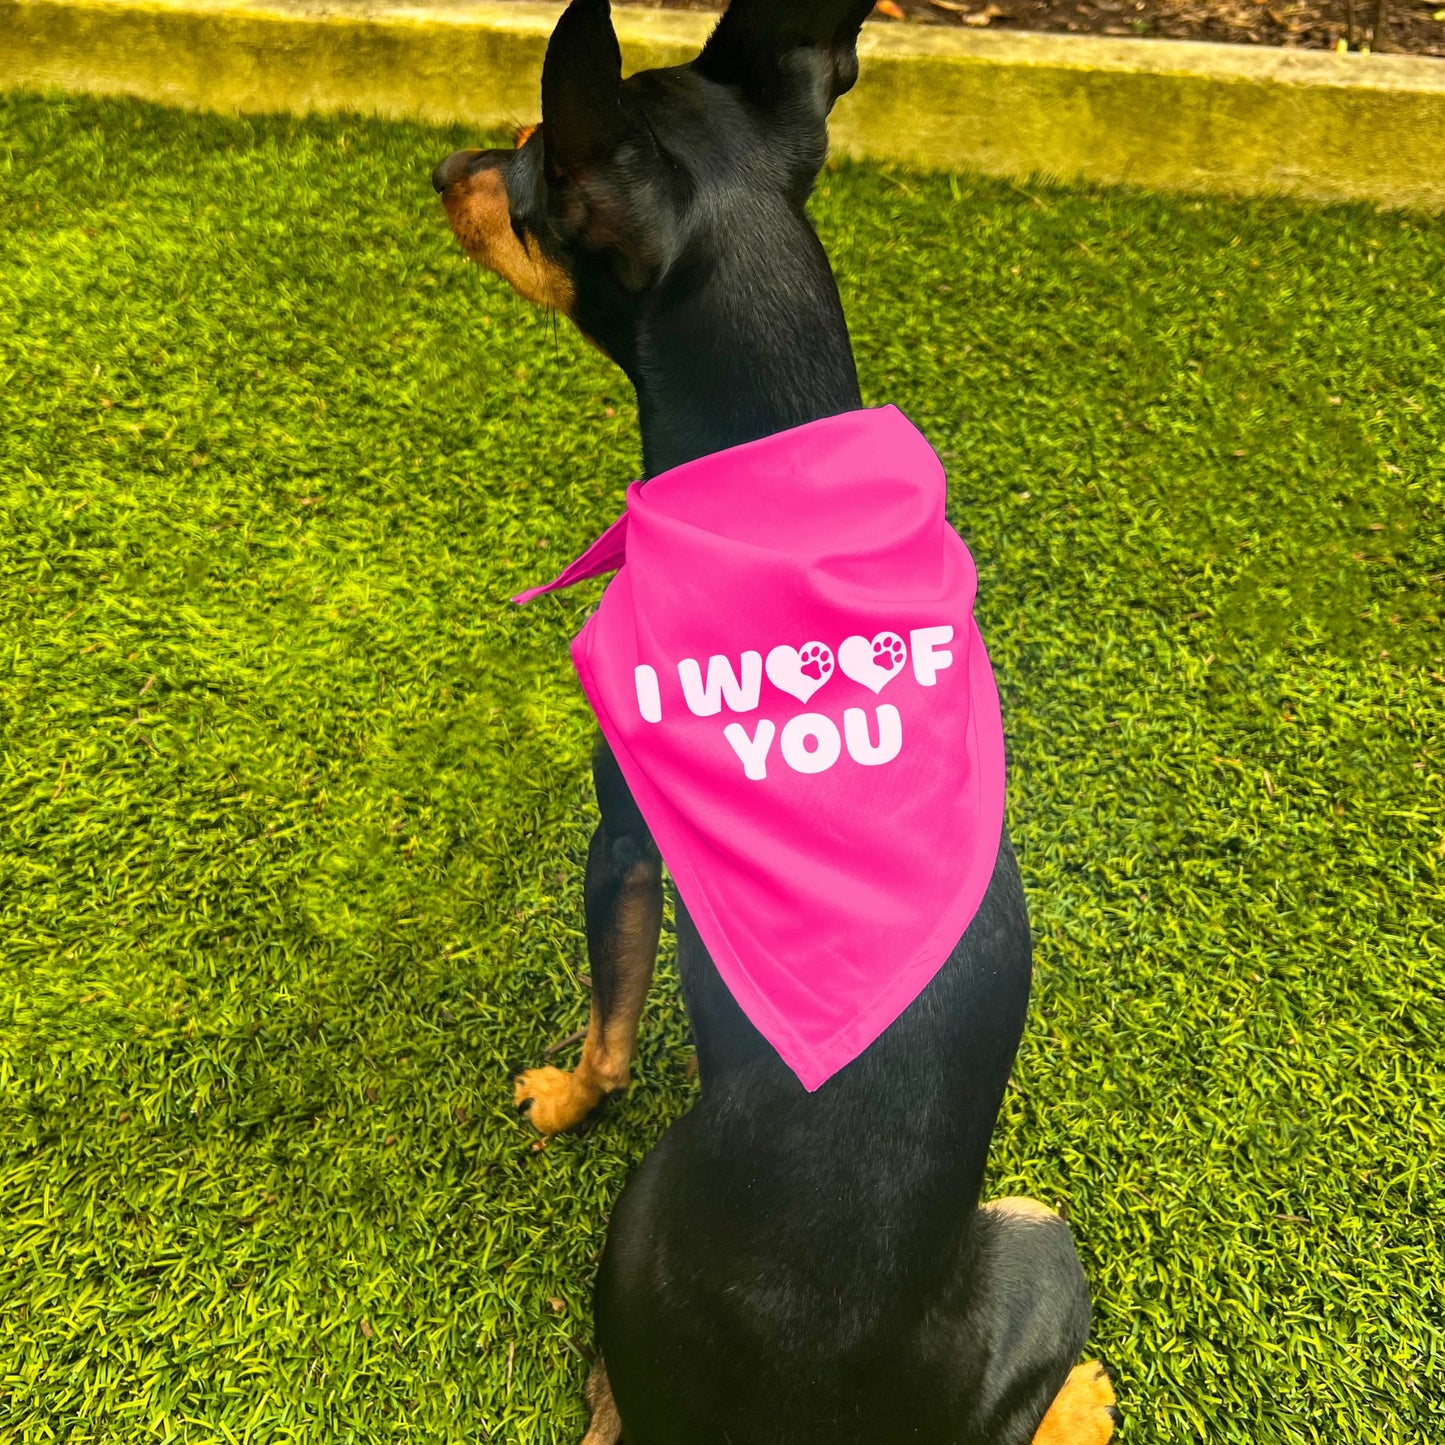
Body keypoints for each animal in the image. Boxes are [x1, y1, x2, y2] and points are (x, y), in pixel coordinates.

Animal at [427, 5, 1115, 1439]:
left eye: (525, 164)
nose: (438, 166)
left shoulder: (619, 840)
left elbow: (610, 1023)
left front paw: (562, 1096)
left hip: (1024, 1230)